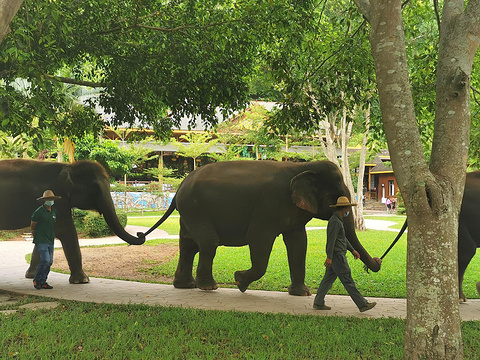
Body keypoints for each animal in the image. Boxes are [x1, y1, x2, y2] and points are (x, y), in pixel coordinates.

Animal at [0, 159, 146, 282]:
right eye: (95, 188)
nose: (140, 233)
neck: (68, 166)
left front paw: (31, 276)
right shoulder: (59, 199)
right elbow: (67, 232)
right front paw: (83, 281)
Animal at [142, 160, 382, 296]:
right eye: (336, 197)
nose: (377, 262)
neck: (300, 166)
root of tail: (180, 186)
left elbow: (298, 244)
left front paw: (302, 294)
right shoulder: (268, 207)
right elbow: (259, 240)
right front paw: (239, 281)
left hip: (189, 213)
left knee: (189, 245)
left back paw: (186, 286)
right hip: (196, 209)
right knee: (208, 244)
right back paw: (209, 287)